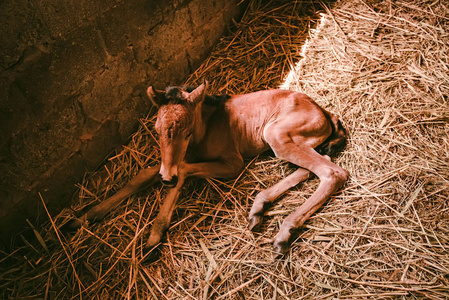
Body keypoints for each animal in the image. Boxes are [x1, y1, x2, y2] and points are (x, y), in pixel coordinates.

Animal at [67, 81, 346, 255]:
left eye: (187, 132)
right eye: (156, 130)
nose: (166, 178)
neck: (207, 127)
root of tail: (325, 113)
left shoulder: (232, 163)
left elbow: (184, 170)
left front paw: (154, 235)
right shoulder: (169, 161)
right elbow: (145, 174)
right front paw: (84, 217)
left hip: (276, 134)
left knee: (333, 172)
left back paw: (284, 232)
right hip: (291, 140)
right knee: (312, 167)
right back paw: (259, 208)